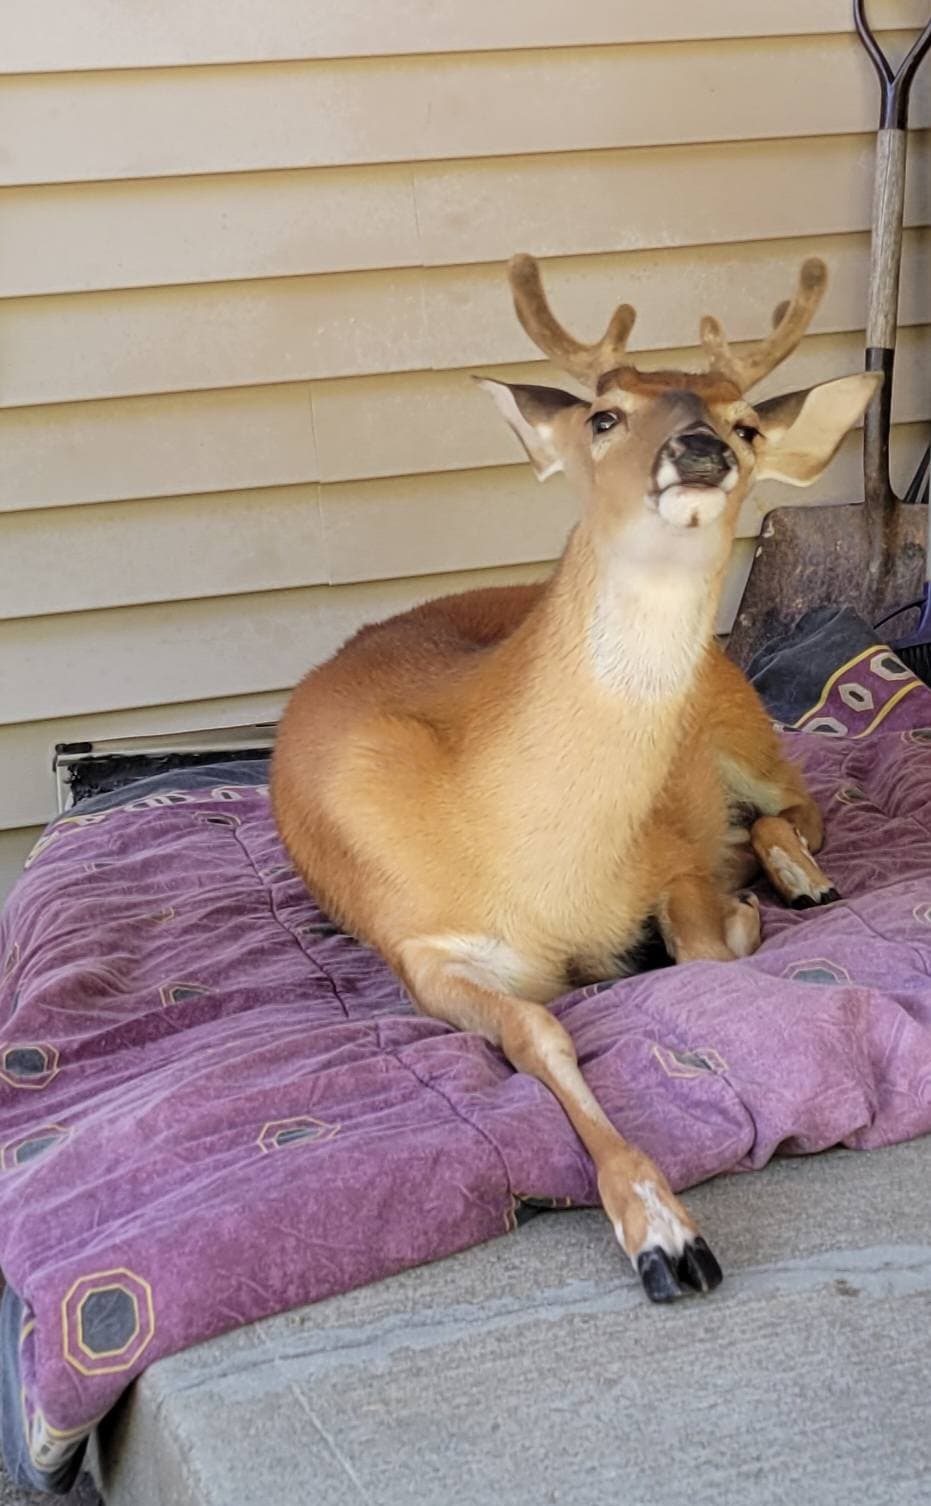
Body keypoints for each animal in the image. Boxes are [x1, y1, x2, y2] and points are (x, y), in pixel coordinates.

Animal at [272, 254, 879, 1303]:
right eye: (602, 414)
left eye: (747, 422)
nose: (700, 449)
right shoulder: (418, 945)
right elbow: (537, 1034)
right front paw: (665, 1236)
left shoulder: (670, 851)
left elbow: (707, 954)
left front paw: (734, 918)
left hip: (740, 724)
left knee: (798, 808)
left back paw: (800, 878)